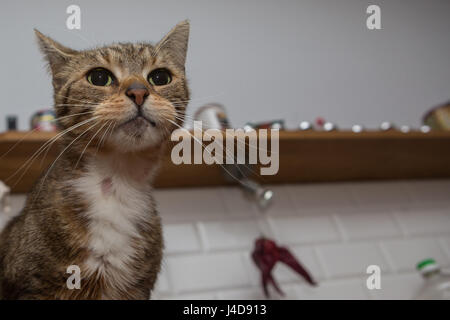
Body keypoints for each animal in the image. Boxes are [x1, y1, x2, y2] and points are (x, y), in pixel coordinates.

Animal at [0, 21, 190, 298]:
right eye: (99, 77)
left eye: (160, 77)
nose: (138, 92)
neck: (115, 181)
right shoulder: (30, 285)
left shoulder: (138, 288)